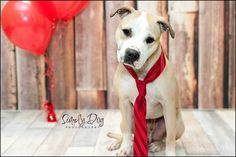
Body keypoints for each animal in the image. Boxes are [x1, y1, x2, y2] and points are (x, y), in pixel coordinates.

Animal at [106, 6, 185, 156]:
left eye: (149, 40)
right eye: (126, 31)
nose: (132, 53)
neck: (141, 74)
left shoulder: (168, 105)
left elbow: (170, 137)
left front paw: (170, 153)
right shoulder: (124, 102)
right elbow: (126, 132)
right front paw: (124, 148)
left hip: (178, 122)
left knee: (165, 137)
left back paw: (157, 145)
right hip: (125, 119)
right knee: (127, 132)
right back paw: (117, 143)